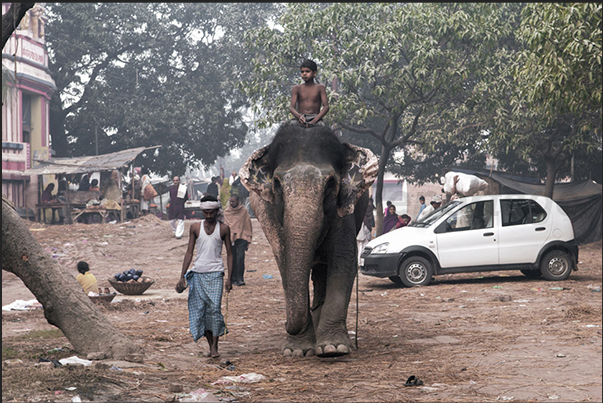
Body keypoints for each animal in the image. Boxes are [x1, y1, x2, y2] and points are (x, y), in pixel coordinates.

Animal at [239, 123, 378, 356]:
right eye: (277, 184)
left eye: (330, 184)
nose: (287, 324)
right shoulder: (271, 216)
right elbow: (285, 264)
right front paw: (298, 351)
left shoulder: (343, 209)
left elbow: (344, 260)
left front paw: (333, 348)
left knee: (322, 273)